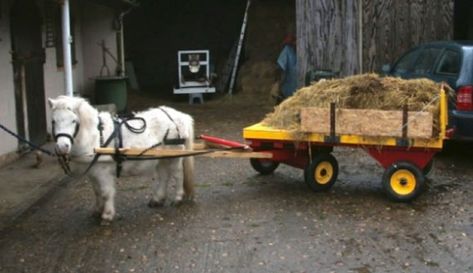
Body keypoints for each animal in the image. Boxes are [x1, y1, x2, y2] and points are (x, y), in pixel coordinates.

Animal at [48, 95, 194, 221]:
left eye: (73, 121)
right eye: (53, 121)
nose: (62, 147)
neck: (96, 137)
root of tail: (180, 116)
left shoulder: (103, 172)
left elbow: (106, 193)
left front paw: (107, 215)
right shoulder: (93, 173)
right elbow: (97, 192)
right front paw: (97, 210)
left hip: (174, 157)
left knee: (178, 175)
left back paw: (178, 198)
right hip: (162, 158)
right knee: (164, 176)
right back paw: (157, 199)